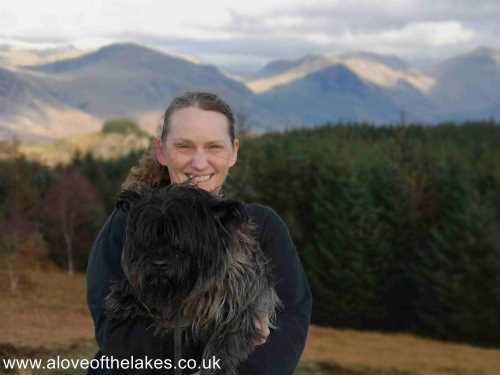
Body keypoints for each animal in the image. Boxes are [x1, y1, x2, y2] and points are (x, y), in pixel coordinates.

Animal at [104, 186, 282, 375]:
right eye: (148, 238)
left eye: (181, 241)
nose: (159, 262)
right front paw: (123, 297)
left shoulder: (243, 310)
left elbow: (225, 341)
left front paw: (215, 368)